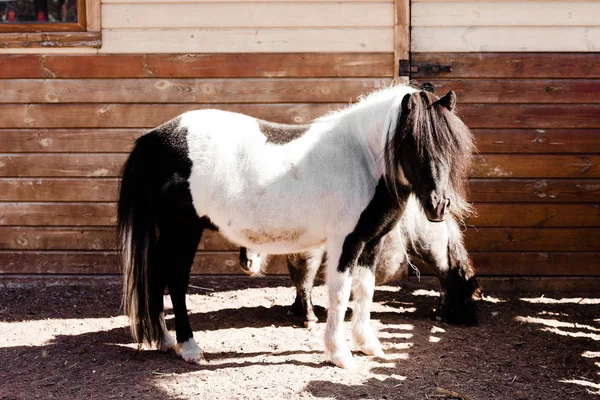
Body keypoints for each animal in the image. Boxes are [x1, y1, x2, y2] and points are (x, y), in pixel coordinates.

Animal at [239, 193, 478, 328]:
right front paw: (296, 309)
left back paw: (441, 314)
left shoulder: (308, 256)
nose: (245, 263)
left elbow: (304, 283)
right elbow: (299, 285)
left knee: (445, 280)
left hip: (433, 253)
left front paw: (308, 317)